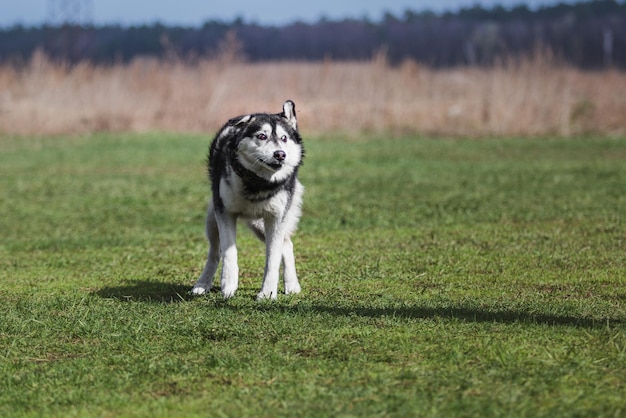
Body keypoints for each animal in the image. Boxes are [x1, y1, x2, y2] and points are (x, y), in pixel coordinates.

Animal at [193, 99, 304, 298]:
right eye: (261, 136)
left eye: (284, 138)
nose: (280, 154)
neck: (258, 183)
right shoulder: (225, 213)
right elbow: (229, 251)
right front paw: (228, 283)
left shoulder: (276, 218)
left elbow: (273, 258)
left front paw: (267, 292)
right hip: (213, 219)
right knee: (215, 252)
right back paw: (203, 283)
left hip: (263, 224)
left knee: (286, 245)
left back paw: (292, 284)